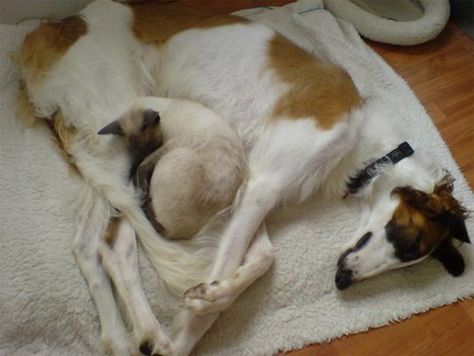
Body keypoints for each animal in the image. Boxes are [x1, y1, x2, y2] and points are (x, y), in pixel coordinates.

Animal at [15, 0, 470, 354]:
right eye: (406, 239)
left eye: (409, 260)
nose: (342, 281)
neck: (366, 145)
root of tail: (55, 28)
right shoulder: (261, 185)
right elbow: (240, 268)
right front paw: (189, 324)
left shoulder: (254, 190)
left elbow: (263, 258)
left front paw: (203, 299)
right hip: (123, 130)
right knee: (114, 240)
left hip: (106, 158)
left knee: (95, 246)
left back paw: (126, 337)